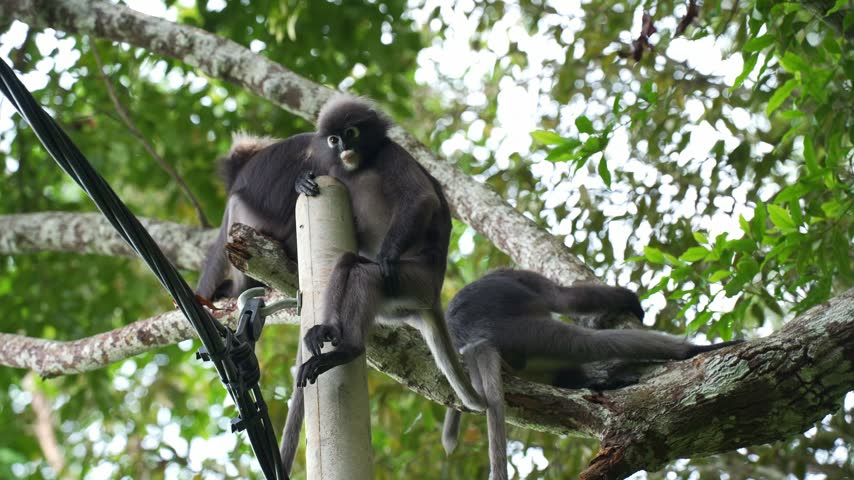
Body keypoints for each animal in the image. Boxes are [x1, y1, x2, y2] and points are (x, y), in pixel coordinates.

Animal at [278, 95, 486, 473]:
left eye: (351, 132)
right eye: (334, 139)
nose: (344, 148)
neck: (362, 164)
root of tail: (433, 297)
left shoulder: (392, 154)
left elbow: (421, 199)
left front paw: (388, 255)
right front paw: (302, 181)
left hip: (414, 281)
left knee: (365, 274)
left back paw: (348, 349)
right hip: (398, 304)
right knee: (347, 264)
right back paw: (328, 333)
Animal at [441, 268, 743, 480]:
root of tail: (476, 340)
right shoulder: (520, 277)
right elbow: (565, 299)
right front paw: (631, 301)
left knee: (566, 371)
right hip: (523, 331)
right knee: (588, 342)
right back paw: (691, 349)